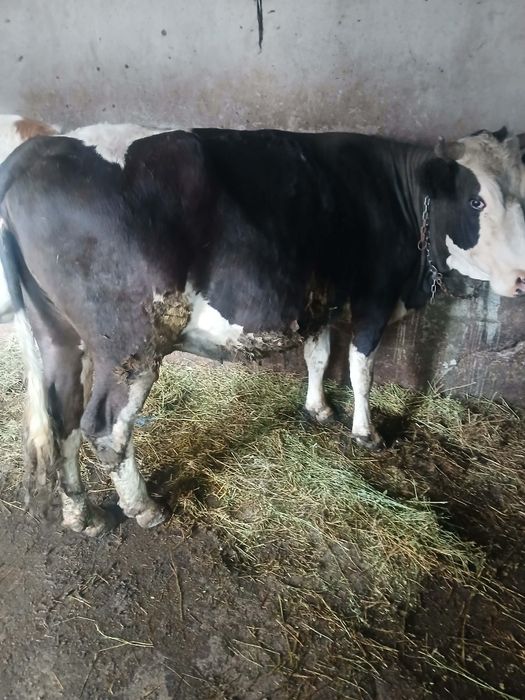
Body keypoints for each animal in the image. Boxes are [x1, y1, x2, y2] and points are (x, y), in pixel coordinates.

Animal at [0, 126, 524, 536]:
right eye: (477, 200)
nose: (522, 277)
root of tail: (34, 152)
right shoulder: (375, 298)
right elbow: (361, 370)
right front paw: (366, 434)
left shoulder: (318, 301)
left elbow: (319, 355)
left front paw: (318, 409)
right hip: (130, 344)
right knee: (105, 426)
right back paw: (144, 508)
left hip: (60, 334)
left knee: (63, 415)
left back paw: (81, 515)